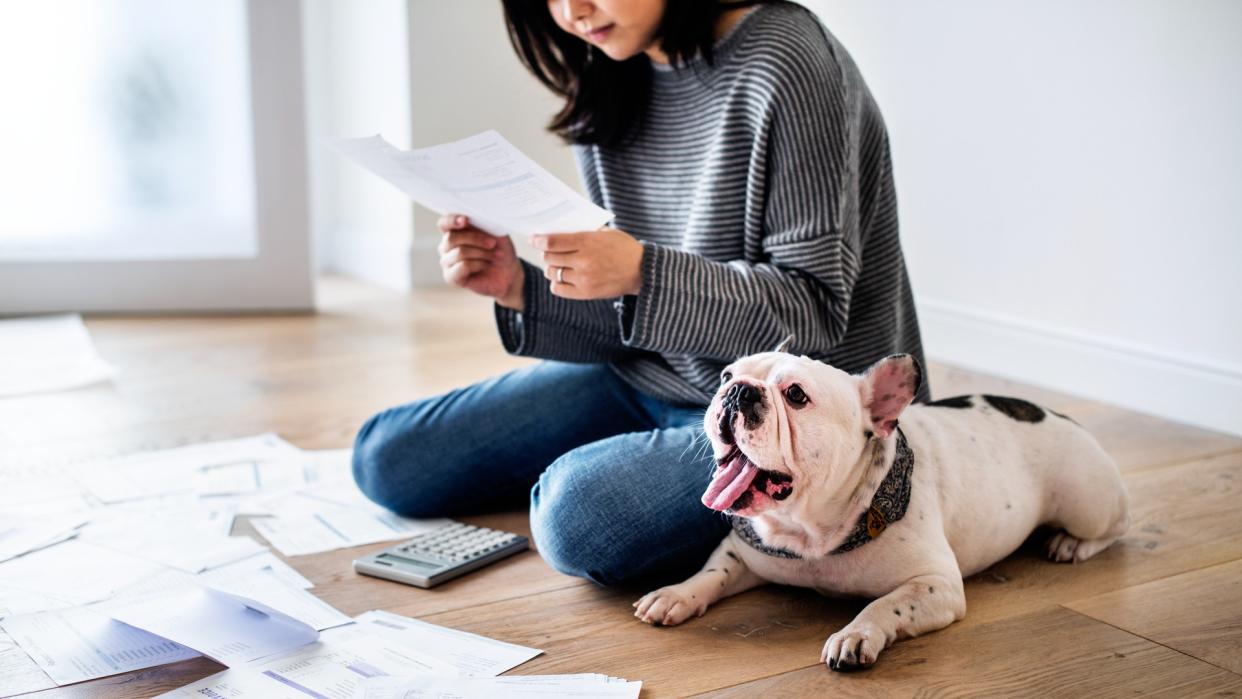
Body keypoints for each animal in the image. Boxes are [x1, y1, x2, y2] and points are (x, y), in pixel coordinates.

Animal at [635, 352, 1132, 670]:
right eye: (725, 376)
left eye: (795, 395)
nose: (739, 392)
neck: (809, 532)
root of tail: (1056, 414)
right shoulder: (743, 549)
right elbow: (711, 572)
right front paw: (676, 593)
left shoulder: (936, 584)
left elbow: (887, 603)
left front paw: (856, 635)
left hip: (1087, 502)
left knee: (1118, 524)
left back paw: (1072, 544)